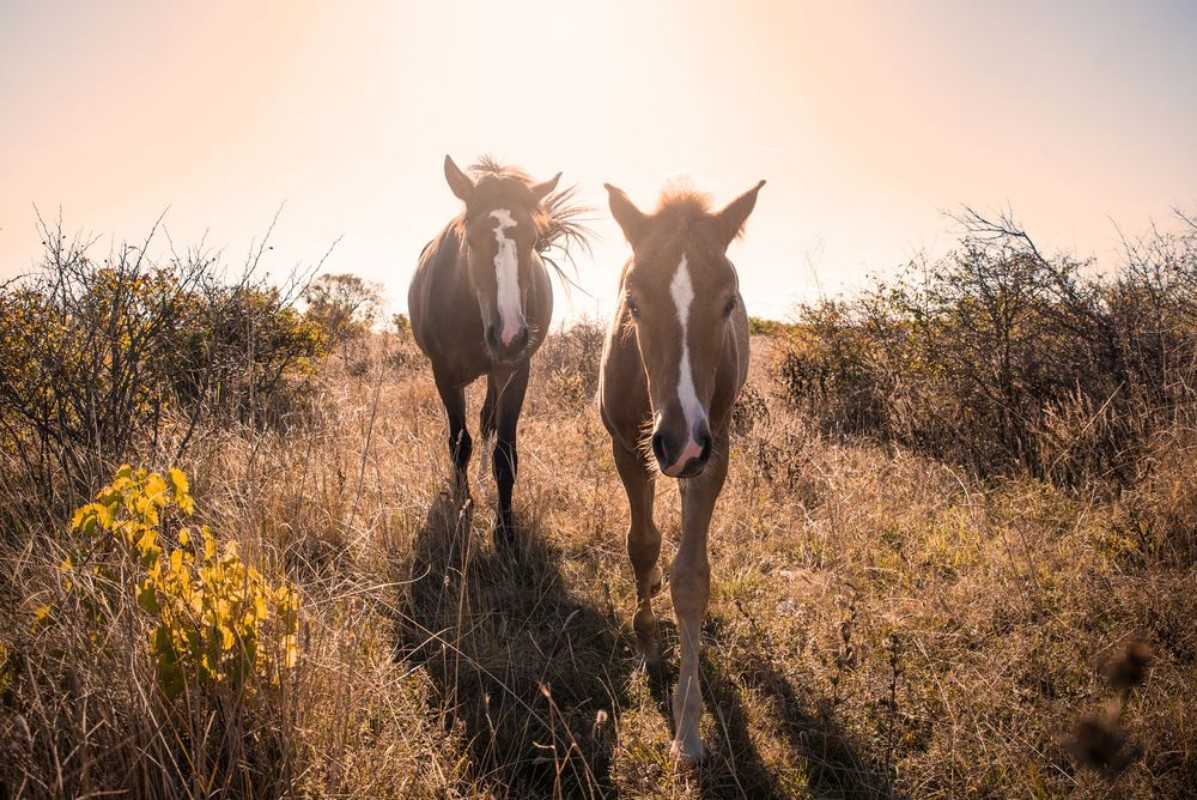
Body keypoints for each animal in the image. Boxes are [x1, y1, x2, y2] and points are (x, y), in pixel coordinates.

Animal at [408, 155, 584, 542]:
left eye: (532, 240)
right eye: (472, 241)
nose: (510, 334)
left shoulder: (514, 370)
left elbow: (505, 455)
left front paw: (505, 529)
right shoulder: (444, 374)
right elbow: (459, 443)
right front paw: (462, 504)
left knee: (487, 421)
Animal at [598, 177, 765, 763]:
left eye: (729, 301)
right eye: (632, 301)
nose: (682, 442)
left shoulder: (714, 456)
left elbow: (690, 578)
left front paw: (687, 727)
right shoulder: (628, 448)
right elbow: (642, 544)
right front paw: (647, 645)